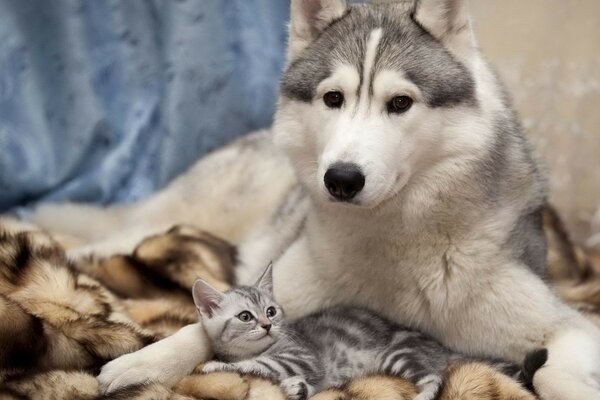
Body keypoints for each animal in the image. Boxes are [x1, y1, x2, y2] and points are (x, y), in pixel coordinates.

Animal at [30, 1, 600, 398]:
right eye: (333, 98)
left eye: (400, 102)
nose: (341, 178)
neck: (394, 244)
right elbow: (198, 330)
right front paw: (141, 364)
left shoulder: (568, 328)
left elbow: (553, 372)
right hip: (182, 213)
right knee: (119, 233)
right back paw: (68, 249)